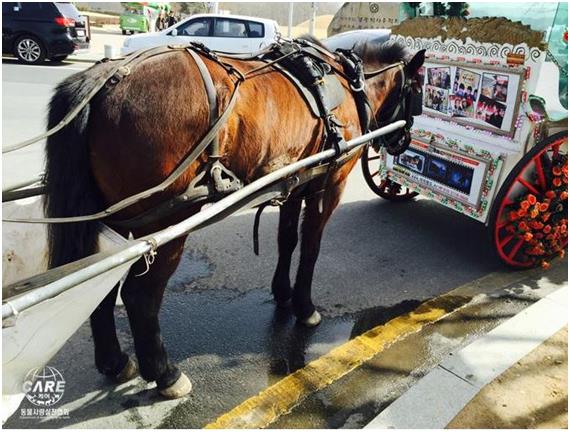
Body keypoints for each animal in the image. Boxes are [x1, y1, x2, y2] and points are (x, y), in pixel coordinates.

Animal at [45, 38, 422, 396]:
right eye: (418, 92)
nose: (404, 140)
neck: (347, 82)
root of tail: (105, 79)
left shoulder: (295, 180)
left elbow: (287, 239)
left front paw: (282, 293)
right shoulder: (329, 184)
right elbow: (311, 247)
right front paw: (305, 307)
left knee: (100, 285)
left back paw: (115, 361)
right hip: (168, 220)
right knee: (140, 296)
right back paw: (165, 373)